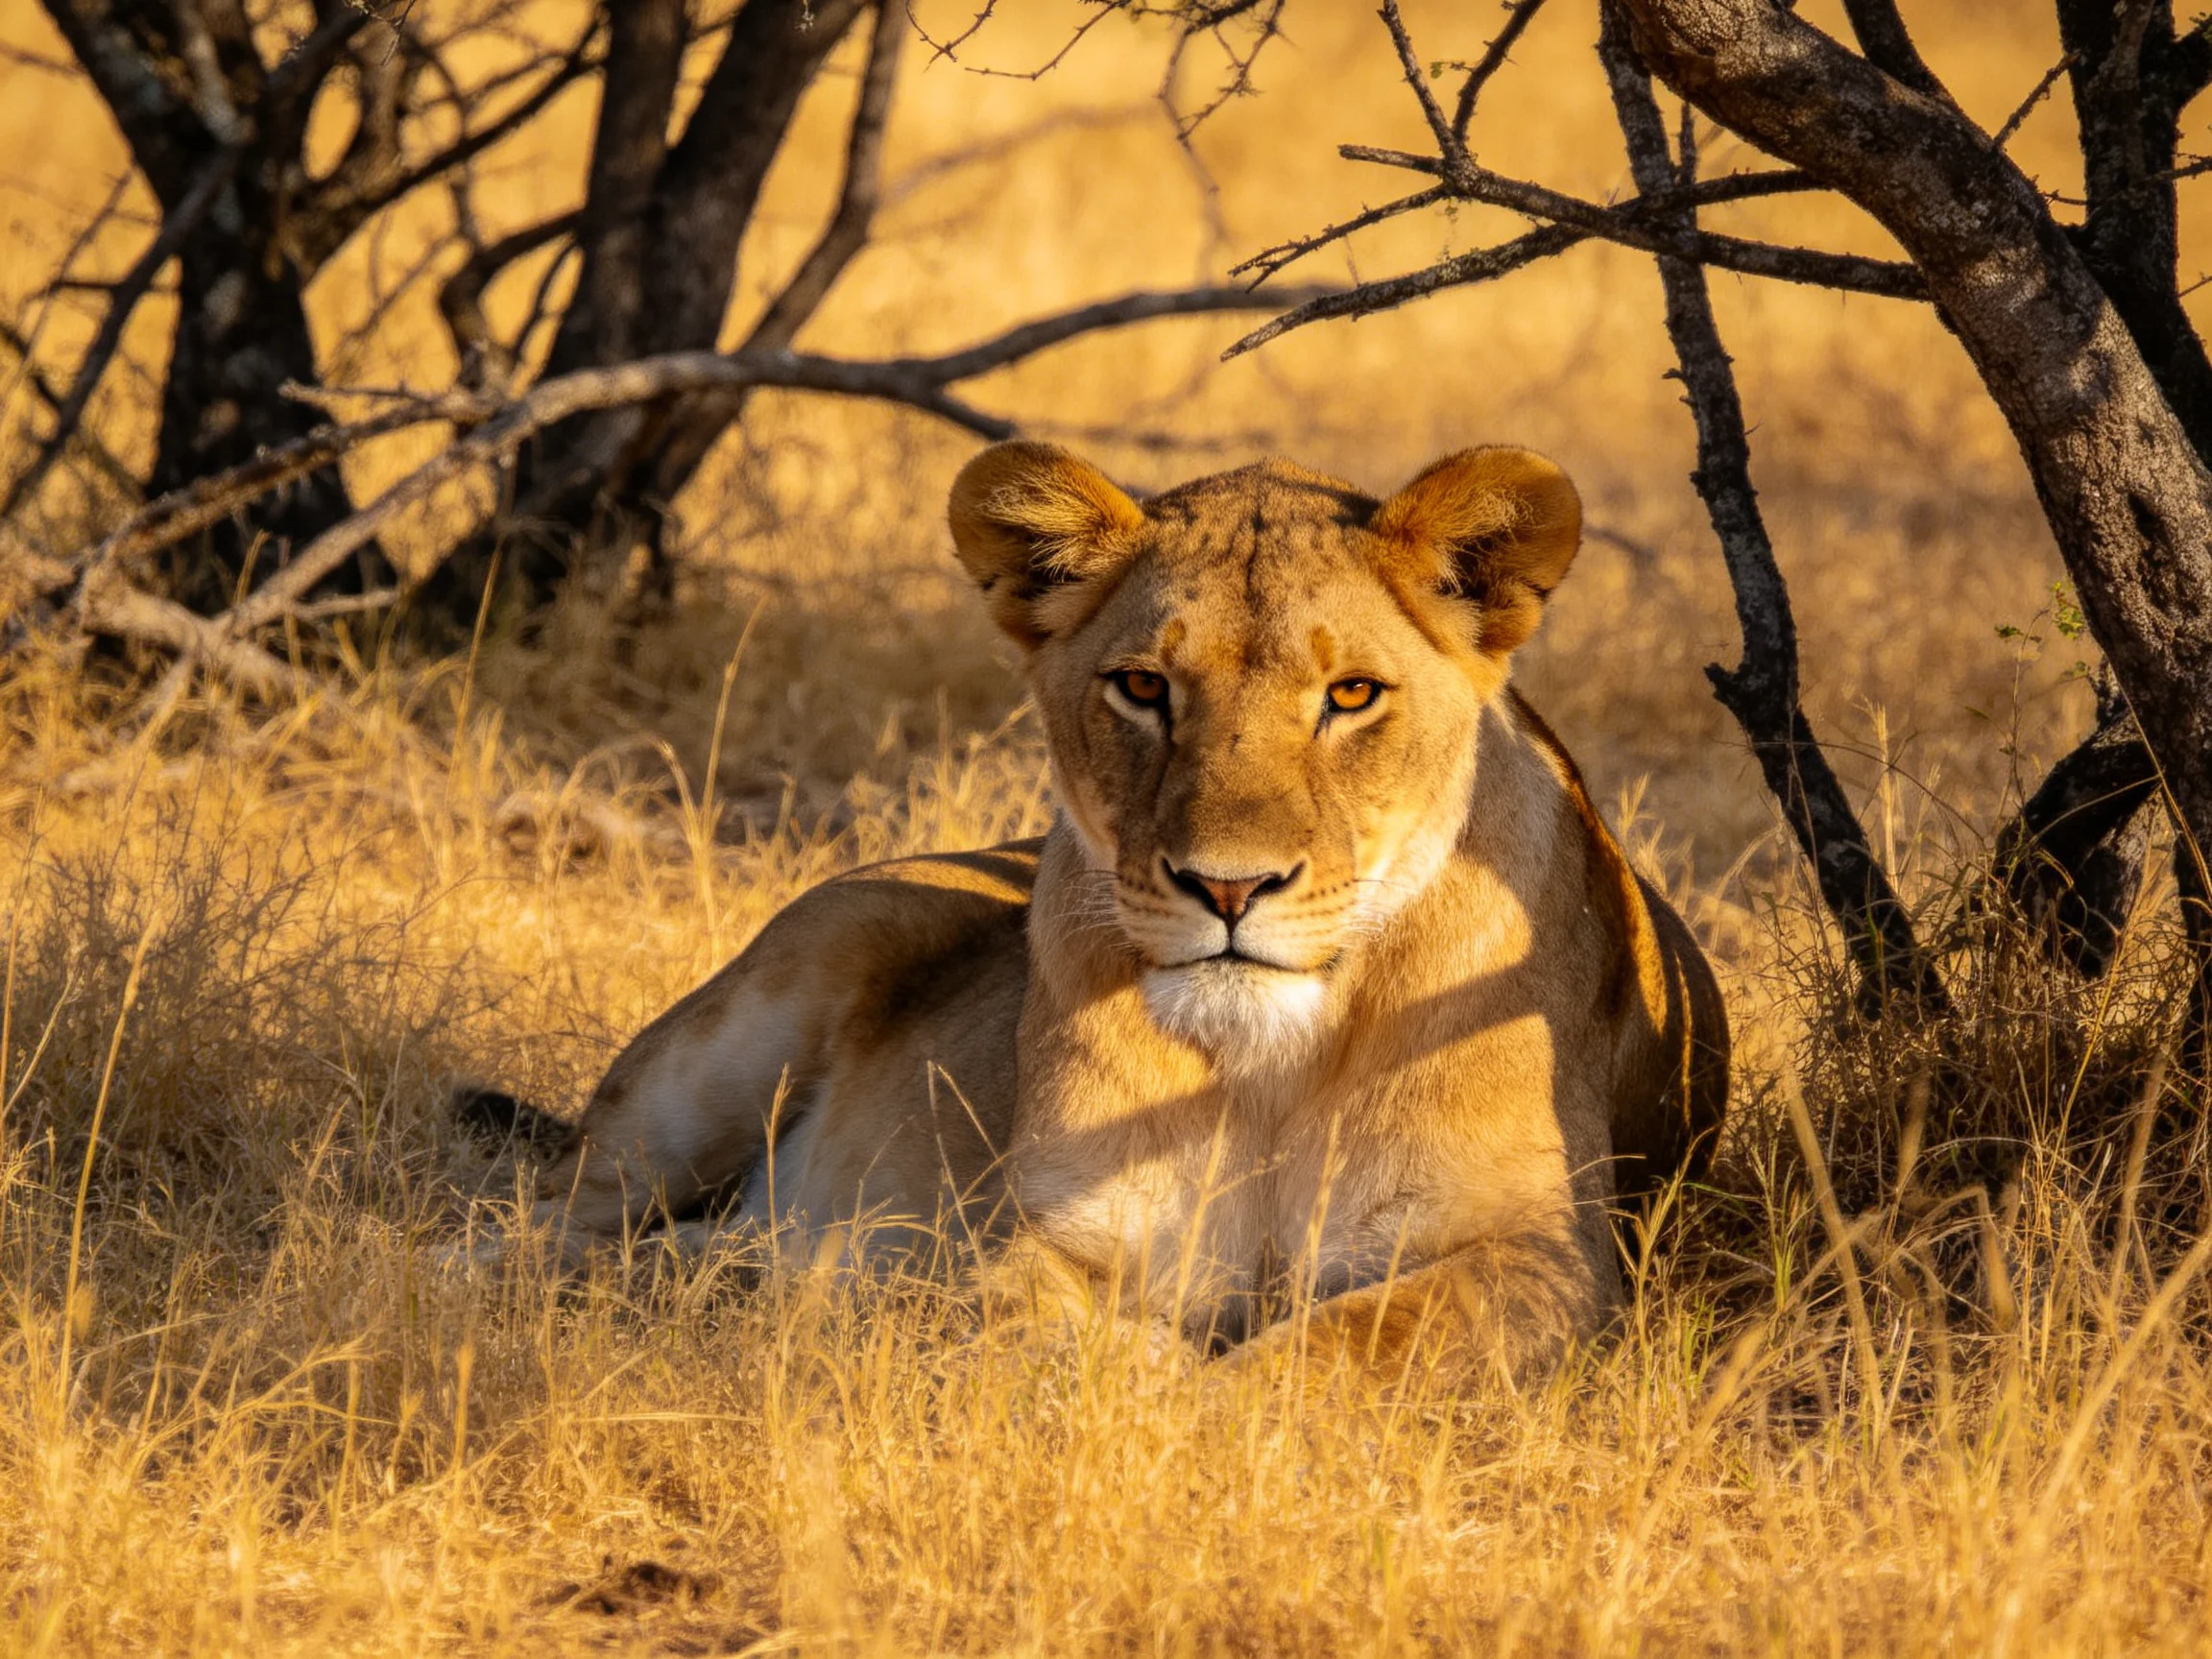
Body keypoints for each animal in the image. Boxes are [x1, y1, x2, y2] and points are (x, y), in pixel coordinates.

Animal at [515, 441, 1729, 1385]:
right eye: (1143, 688)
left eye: (1350, 696)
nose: (1229, 888)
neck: (1275, 1067)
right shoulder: (1052, 1234)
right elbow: (1037, 1332)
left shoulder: (1542, 1256)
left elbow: (1334, 1353)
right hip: (757, 1012)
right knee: (541, 1223)